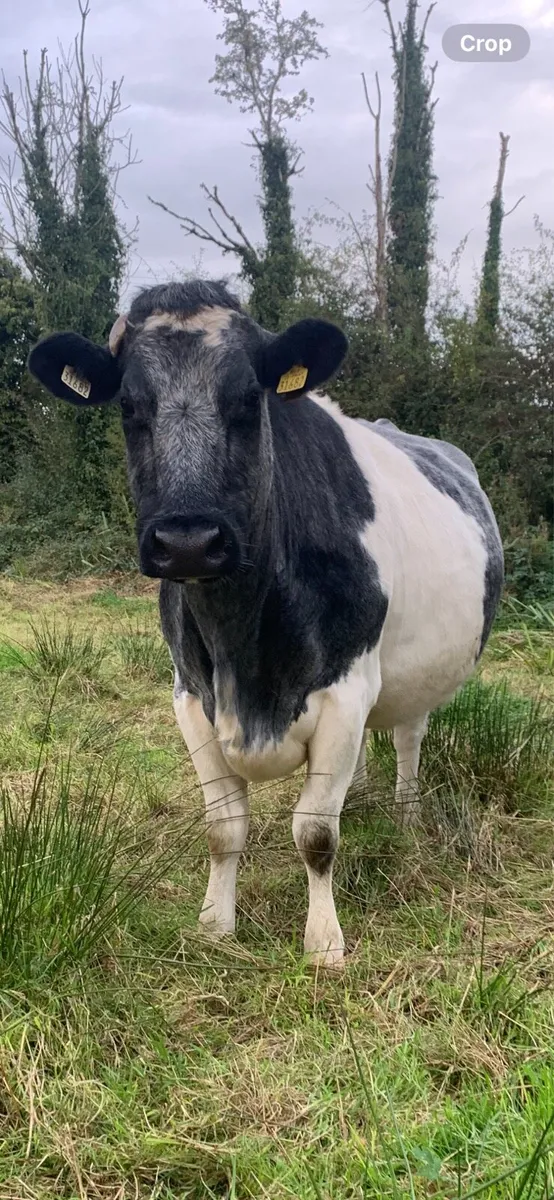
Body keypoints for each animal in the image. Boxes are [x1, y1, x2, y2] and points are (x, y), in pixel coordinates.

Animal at [28, 280, 504, 968]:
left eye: (249, 400)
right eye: (130, 407)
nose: (189, 542)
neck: (243, 654)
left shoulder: (345, 690)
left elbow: (316, 834)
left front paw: (324, 944)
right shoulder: (190, 695)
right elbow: (224, 829)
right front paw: (213, 925)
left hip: (412, 679)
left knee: (408, 740)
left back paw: (407, 820)